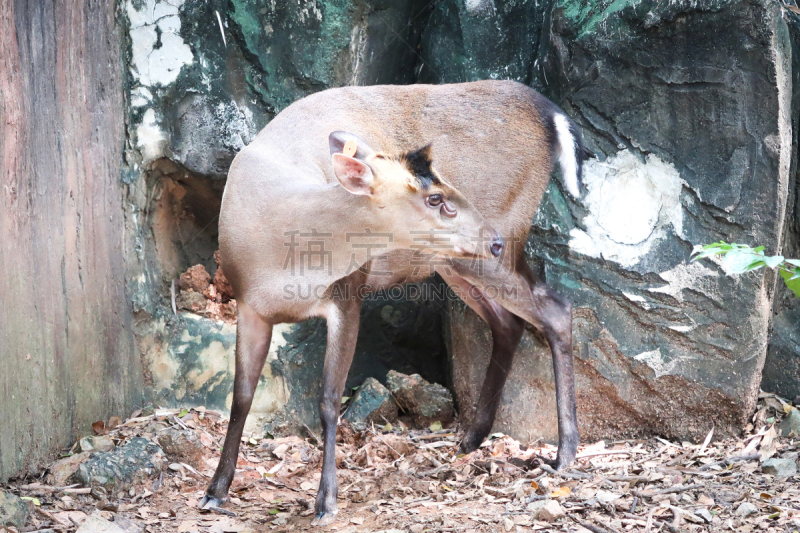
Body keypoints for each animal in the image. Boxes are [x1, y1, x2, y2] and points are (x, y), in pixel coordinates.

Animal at [202, 79, 580, 524]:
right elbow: (241, 395)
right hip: (453, 262)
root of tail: (551, 114)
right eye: (434, 198)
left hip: (495, 241)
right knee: (510, 322)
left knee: (555, 310)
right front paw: (216, 490)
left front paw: (326, 501)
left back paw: (564, 453)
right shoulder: (248, 304)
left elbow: (328, 399)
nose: (493, 240)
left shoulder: (348, 292)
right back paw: (471, 438)